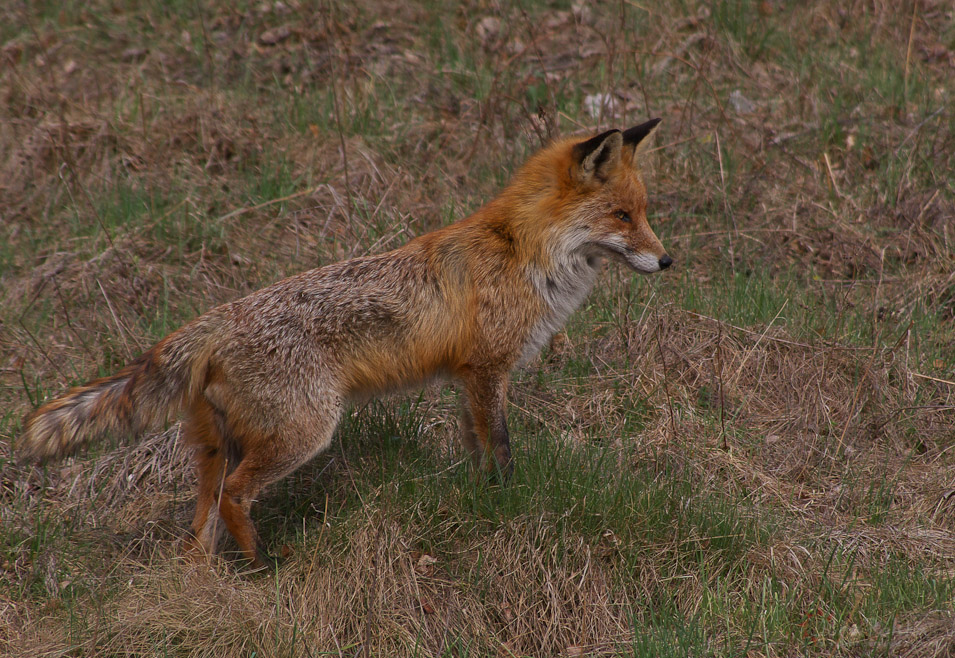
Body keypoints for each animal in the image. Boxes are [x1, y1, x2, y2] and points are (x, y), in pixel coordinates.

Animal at [16, 120, 672, 568]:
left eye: (644, 212)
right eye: (621, 216)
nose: (668, 261)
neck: (522, 250)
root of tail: (215, 321)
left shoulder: (467, 377)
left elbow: (476, 449)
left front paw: (480, 497)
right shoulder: (488, 371)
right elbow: (504, 449)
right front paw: (512, 502)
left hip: (218, 449)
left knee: (199, 529)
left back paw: (209, 585)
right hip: (303, 433)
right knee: (235, 498)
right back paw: (264, 566)